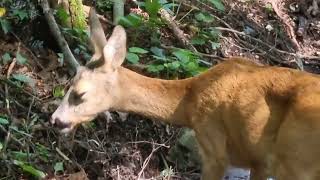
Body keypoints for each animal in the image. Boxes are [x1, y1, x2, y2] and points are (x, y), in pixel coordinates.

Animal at [50, 7, 320, 180]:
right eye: (69, 83)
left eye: (80, 93)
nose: (55, 120)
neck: (189, 103)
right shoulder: (258, 161)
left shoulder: (214, 147)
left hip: (295, 163)